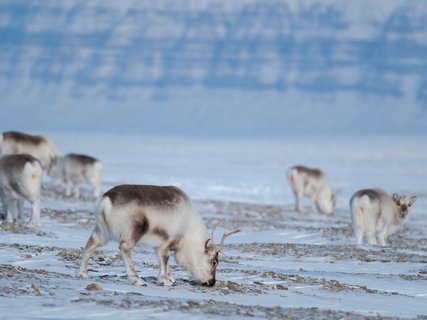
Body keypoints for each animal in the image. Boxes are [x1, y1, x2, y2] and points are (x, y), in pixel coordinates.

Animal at [77, 184, 241, 286]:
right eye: (214, 262)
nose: (212, 283)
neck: (189, 232)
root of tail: (106, 200)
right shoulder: (166, 243)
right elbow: (165, 260)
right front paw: (164, 280)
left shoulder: (159, 246)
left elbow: (165, 263)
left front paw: (170, 277)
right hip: (132, 231)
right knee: (124, 249)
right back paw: (137, 280)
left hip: (103, 231)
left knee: (91, 243)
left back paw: (82, 273)